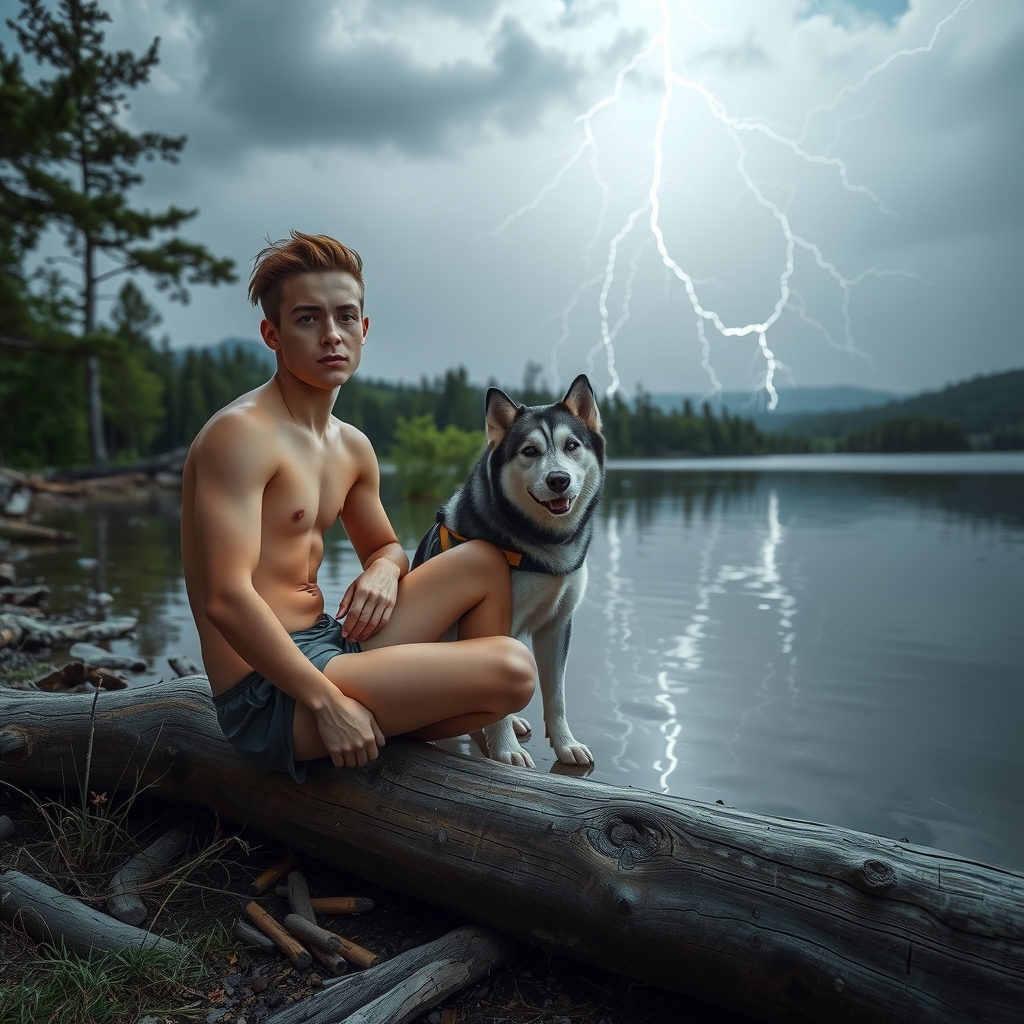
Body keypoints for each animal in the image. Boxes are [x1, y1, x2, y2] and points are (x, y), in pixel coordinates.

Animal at [411, 372, 602, 765]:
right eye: (529, 451)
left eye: (572, 445)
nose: (558, 479)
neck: (541, 546)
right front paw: (507, 750)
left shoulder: (557, 623)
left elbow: (556, 695)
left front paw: (566, 744)